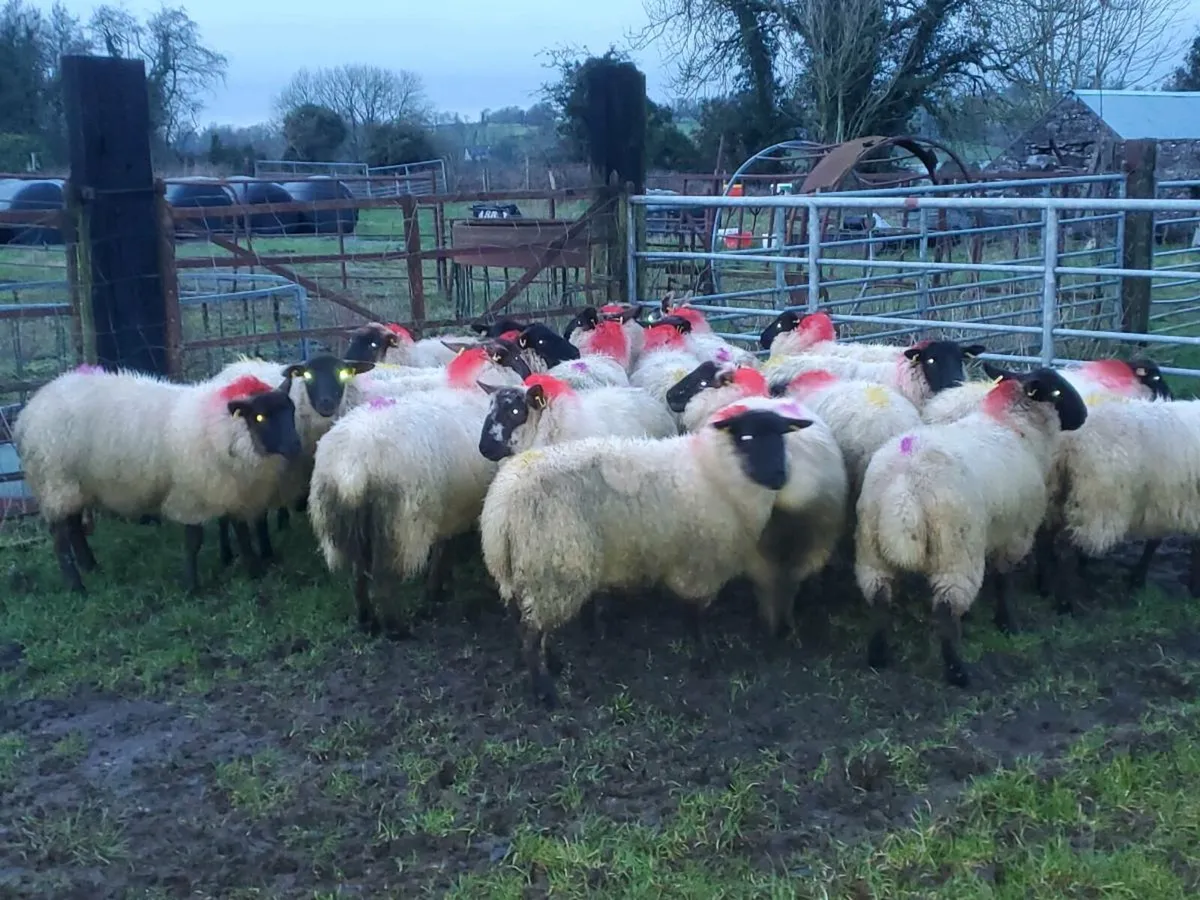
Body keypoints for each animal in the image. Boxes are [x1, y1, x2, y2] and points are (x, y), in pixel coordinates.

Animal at [14, 366, 302, 594]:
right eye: (260, 416)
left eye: (291, 410)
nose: (296, 447)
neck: (222, 430)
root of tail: (29, 411)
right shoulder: (191, 494)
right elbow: (193, 542)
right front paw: (191, 587)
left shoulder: (234, 492)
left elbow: (241, 533)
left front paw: (253, 570)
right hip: (55, 480)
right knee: (60, 535)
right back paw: (76, 585)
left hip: (74, 484)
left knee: (73, 525)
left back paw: (90, 566)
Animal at [307, 384, 499, 637]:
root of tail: (354, 467)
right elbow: (443, 550)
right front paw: (436, 589)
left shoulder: (449, 509)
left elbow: (444, 549)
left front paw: (439, 587)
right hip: (399, 524)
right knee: (383, 578)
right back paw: (395, 627)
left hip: (346, 522)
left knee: (357, 573)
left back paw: (366, 620)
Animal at [479, 402, 815, 707]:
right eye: (746, 437)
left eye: (783, 436)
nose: (779, 476)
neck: (717, 470)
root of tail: (500, 510)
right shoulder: (700, 562)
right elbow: (695, 615)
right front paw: (704, 656)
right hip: (553, 570)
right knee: (531, 637)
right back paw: (545, 691)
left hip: (521, 572)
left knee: (526, 625)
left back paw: (554, 664)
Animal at [853, 365, 1087, 687]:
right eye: (1056, 391)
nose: (1083, 415)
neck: (1012, 426)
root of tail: (905, 489)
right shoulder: (1015, 533)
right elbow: (1003, 580)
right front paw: (1007, 623)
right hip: (956, 549)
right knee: (946, 608)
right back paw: (957, 671)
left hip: (871, 548)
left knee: (879, 597)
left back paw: (878, 656)